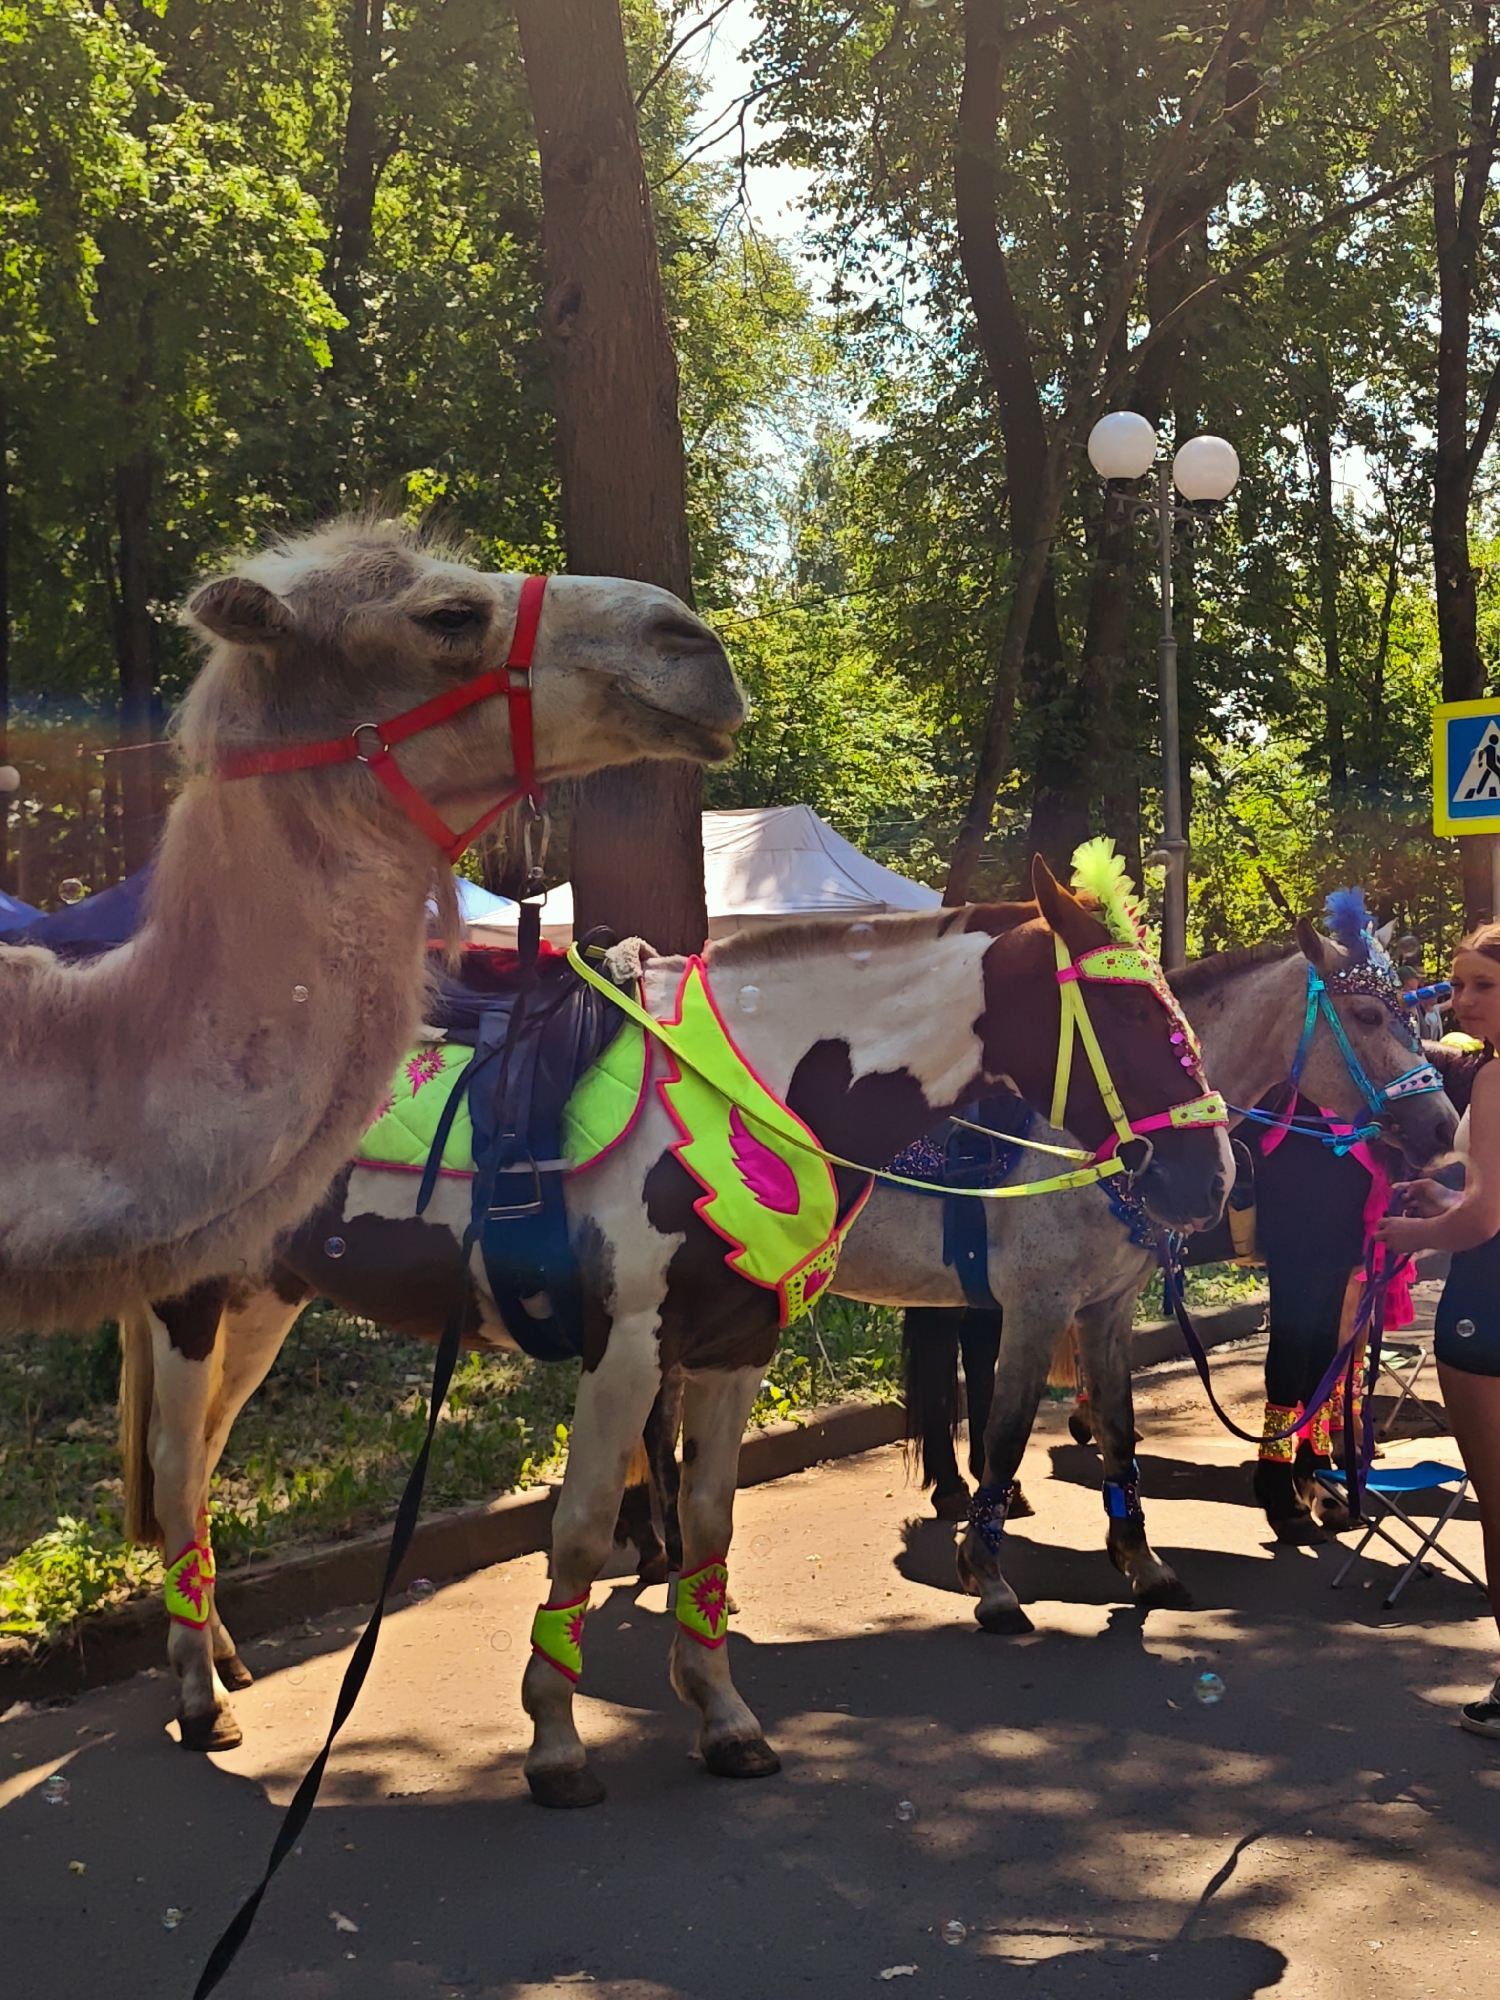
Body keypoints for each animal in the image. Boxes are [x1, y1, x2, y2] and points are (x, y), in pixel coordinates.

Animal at [119, 858, 1231, 1784]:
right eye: (1136, 1016)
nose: (1209, 1177)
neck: (751, 1089)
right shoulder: (625, 1352)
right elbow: (578, 1531)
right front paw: (556, 1737)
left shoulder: (735, 1352)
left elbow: (708, 1523)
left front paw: (723, 1714)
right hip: (193, 1306)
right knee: (177, 1469)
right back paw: (198, 1693)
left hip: (264, 1300)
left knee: (202, 1468)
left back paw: (215, 1651)